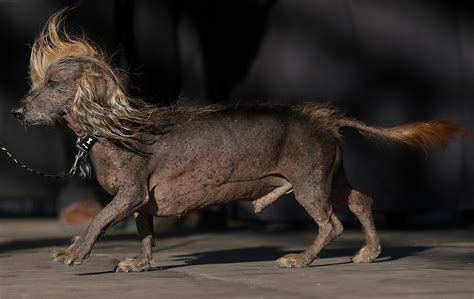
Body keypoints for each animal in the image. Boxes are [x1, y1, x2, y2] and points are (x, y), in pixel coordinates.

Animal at [10, 9, 466, 272]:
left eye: (53, 84)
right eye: (35, 83)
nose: (15, 112)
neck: (110, 126)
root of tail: (323, 119)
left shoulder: (130, 193)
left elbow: (99, 220)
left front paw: (75, 252)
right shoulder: (141, 201)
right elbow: (145, 232)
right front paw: (141, 262)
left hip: (308, 182)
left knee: (332, 224)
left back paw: (302, 259)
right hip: (328, 176)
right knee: (362, 201)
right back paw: (369, 252)